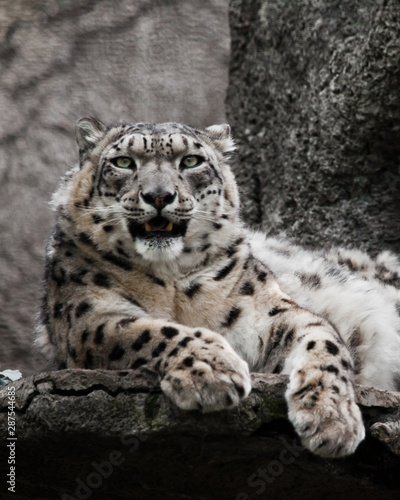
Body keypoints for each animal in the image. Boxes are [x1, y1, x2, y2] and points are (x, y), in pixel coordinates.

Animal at [34, 116, 400, 458]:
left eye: (190, 161)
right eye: (124, 162)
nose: (158, 196)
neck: (170, 280)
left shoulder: (272, 312)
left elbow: (324, 343)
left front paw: (332, 419)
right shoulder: (89, 317)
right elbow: (153, 330)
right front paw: (213, 370)